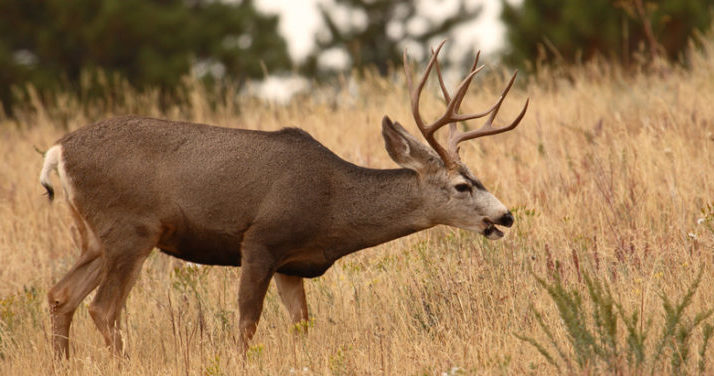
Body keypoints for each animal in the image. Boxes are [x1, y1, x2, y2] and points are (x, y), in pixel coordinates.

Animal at [40, 40, 528, 358]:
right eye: (462, 185)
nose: (506, 216)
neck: (332, 203)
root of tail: (58, 150)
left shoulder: (292, 265)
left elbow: (302, 324)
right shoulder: (261, 240)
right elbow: (246, 322)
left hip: (96, 237)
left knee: (61, 295)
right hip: (131, 230)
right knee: (103, 308)